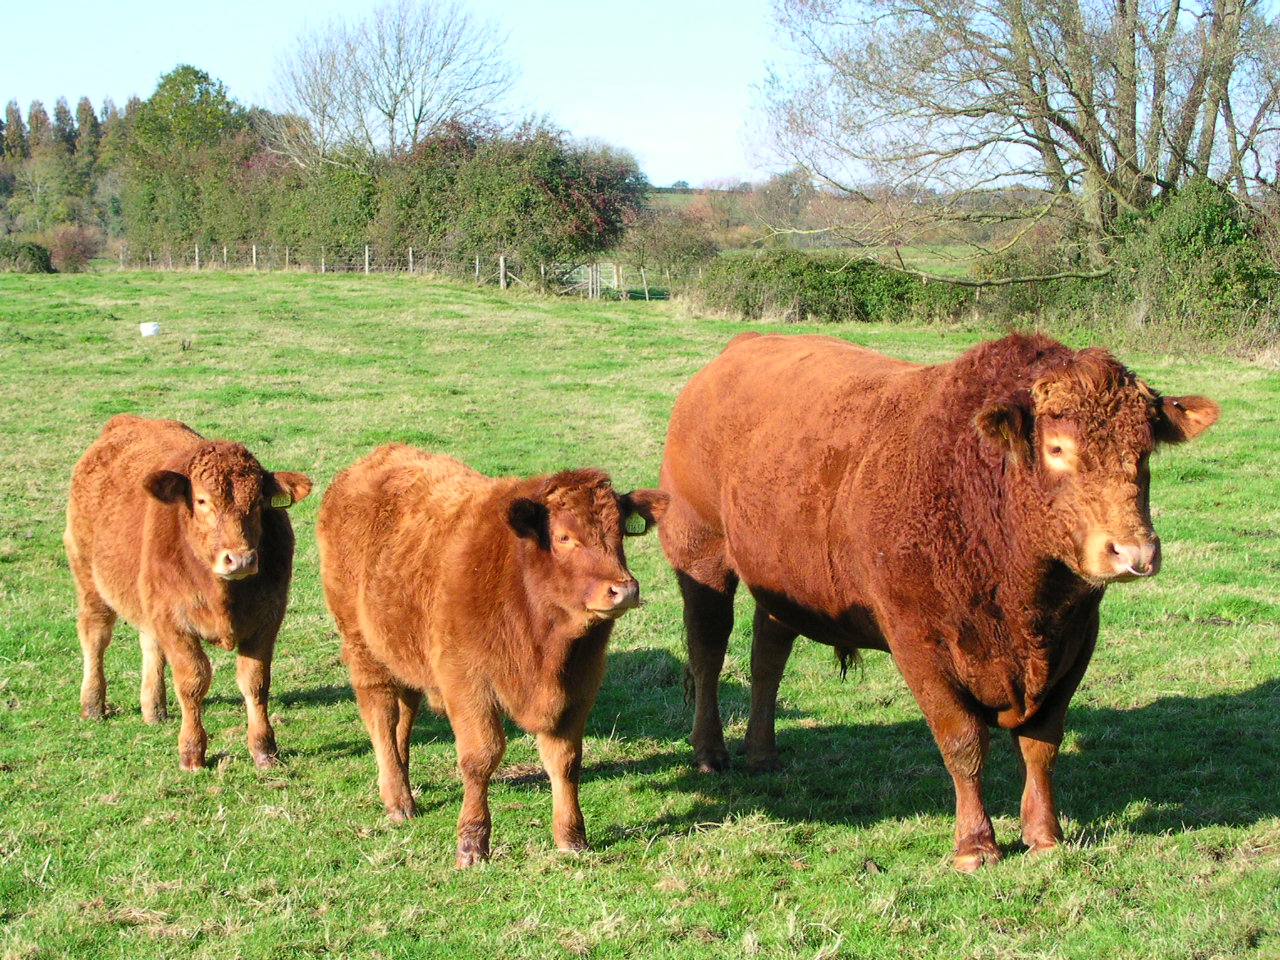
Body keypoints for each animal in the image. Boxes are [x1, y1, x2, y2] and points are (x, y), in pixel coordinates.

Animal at [65, 414, 312, 771]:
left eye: (258, 504)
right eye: (202, 500)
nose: (240, 558)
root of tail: (126, 420)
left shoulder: (267, 619)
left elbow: (255, 682)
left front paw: (264, 750)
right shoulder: (175, 620)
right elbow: (193, 681)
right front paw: (192, 752)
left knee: (150, 644)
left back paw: (154, 708)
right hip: (87, 576)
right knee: (95, 635)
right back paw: (94, 704)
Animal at [316, 444, 668, 867]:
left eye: (620, 534)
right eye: (564, 537)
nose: (624, 590)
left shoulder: (579, 685)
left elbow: (565, 761)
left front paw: (571, 837)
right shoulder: (466, 682)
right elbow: (480, 757)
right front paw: (472, 841)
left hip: (402, 647)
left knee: (404, 713)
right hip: (362, 644)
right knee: (382, 716)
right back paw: (397, 799)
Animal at [658, 331, 1218, 870]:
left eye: (1144, 451)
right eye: (1057, 448)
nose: (1134, 552)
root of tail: (739, 348)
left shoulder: (1074, 640)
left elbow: (1042, 743)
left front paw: (1044, 836)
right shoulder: (919, 642)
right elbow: (963, 741)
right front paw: (975, 845)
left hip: (782, 579)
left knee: (767, 659)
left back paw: (762, 753)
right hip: (700, 552)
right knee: (708, 652)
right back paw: (710, 751)